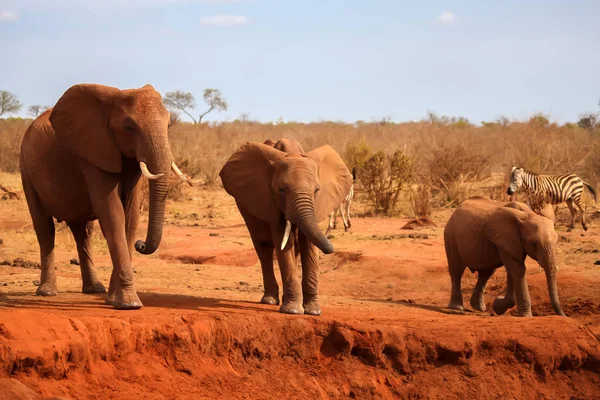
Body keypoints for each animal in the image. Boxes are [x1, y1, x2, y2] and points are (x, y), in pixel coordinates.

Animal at [20, 83, 188, 310]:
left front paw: (113, 299)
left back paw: (94, 289)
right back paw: (46, 291)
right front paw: (130, 304)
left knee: (82, 232)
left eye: (169, 125)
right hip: (26, 168)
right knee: (44, 227)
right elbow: (113, 212)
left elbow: (130, 216)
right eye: (128, 127)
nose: (141, 245)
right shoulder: (93, 152)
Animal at [219, 138, 352, 316]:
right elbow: (282, 242)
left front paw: (313, 311)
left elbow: (308, 244)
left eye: (317, 190)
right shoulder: (270, 202)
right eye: (281, 190)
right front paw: (293, 311)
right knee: (263, 246)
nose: (331, 249)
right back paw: (270, 300)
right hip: (246, 207)